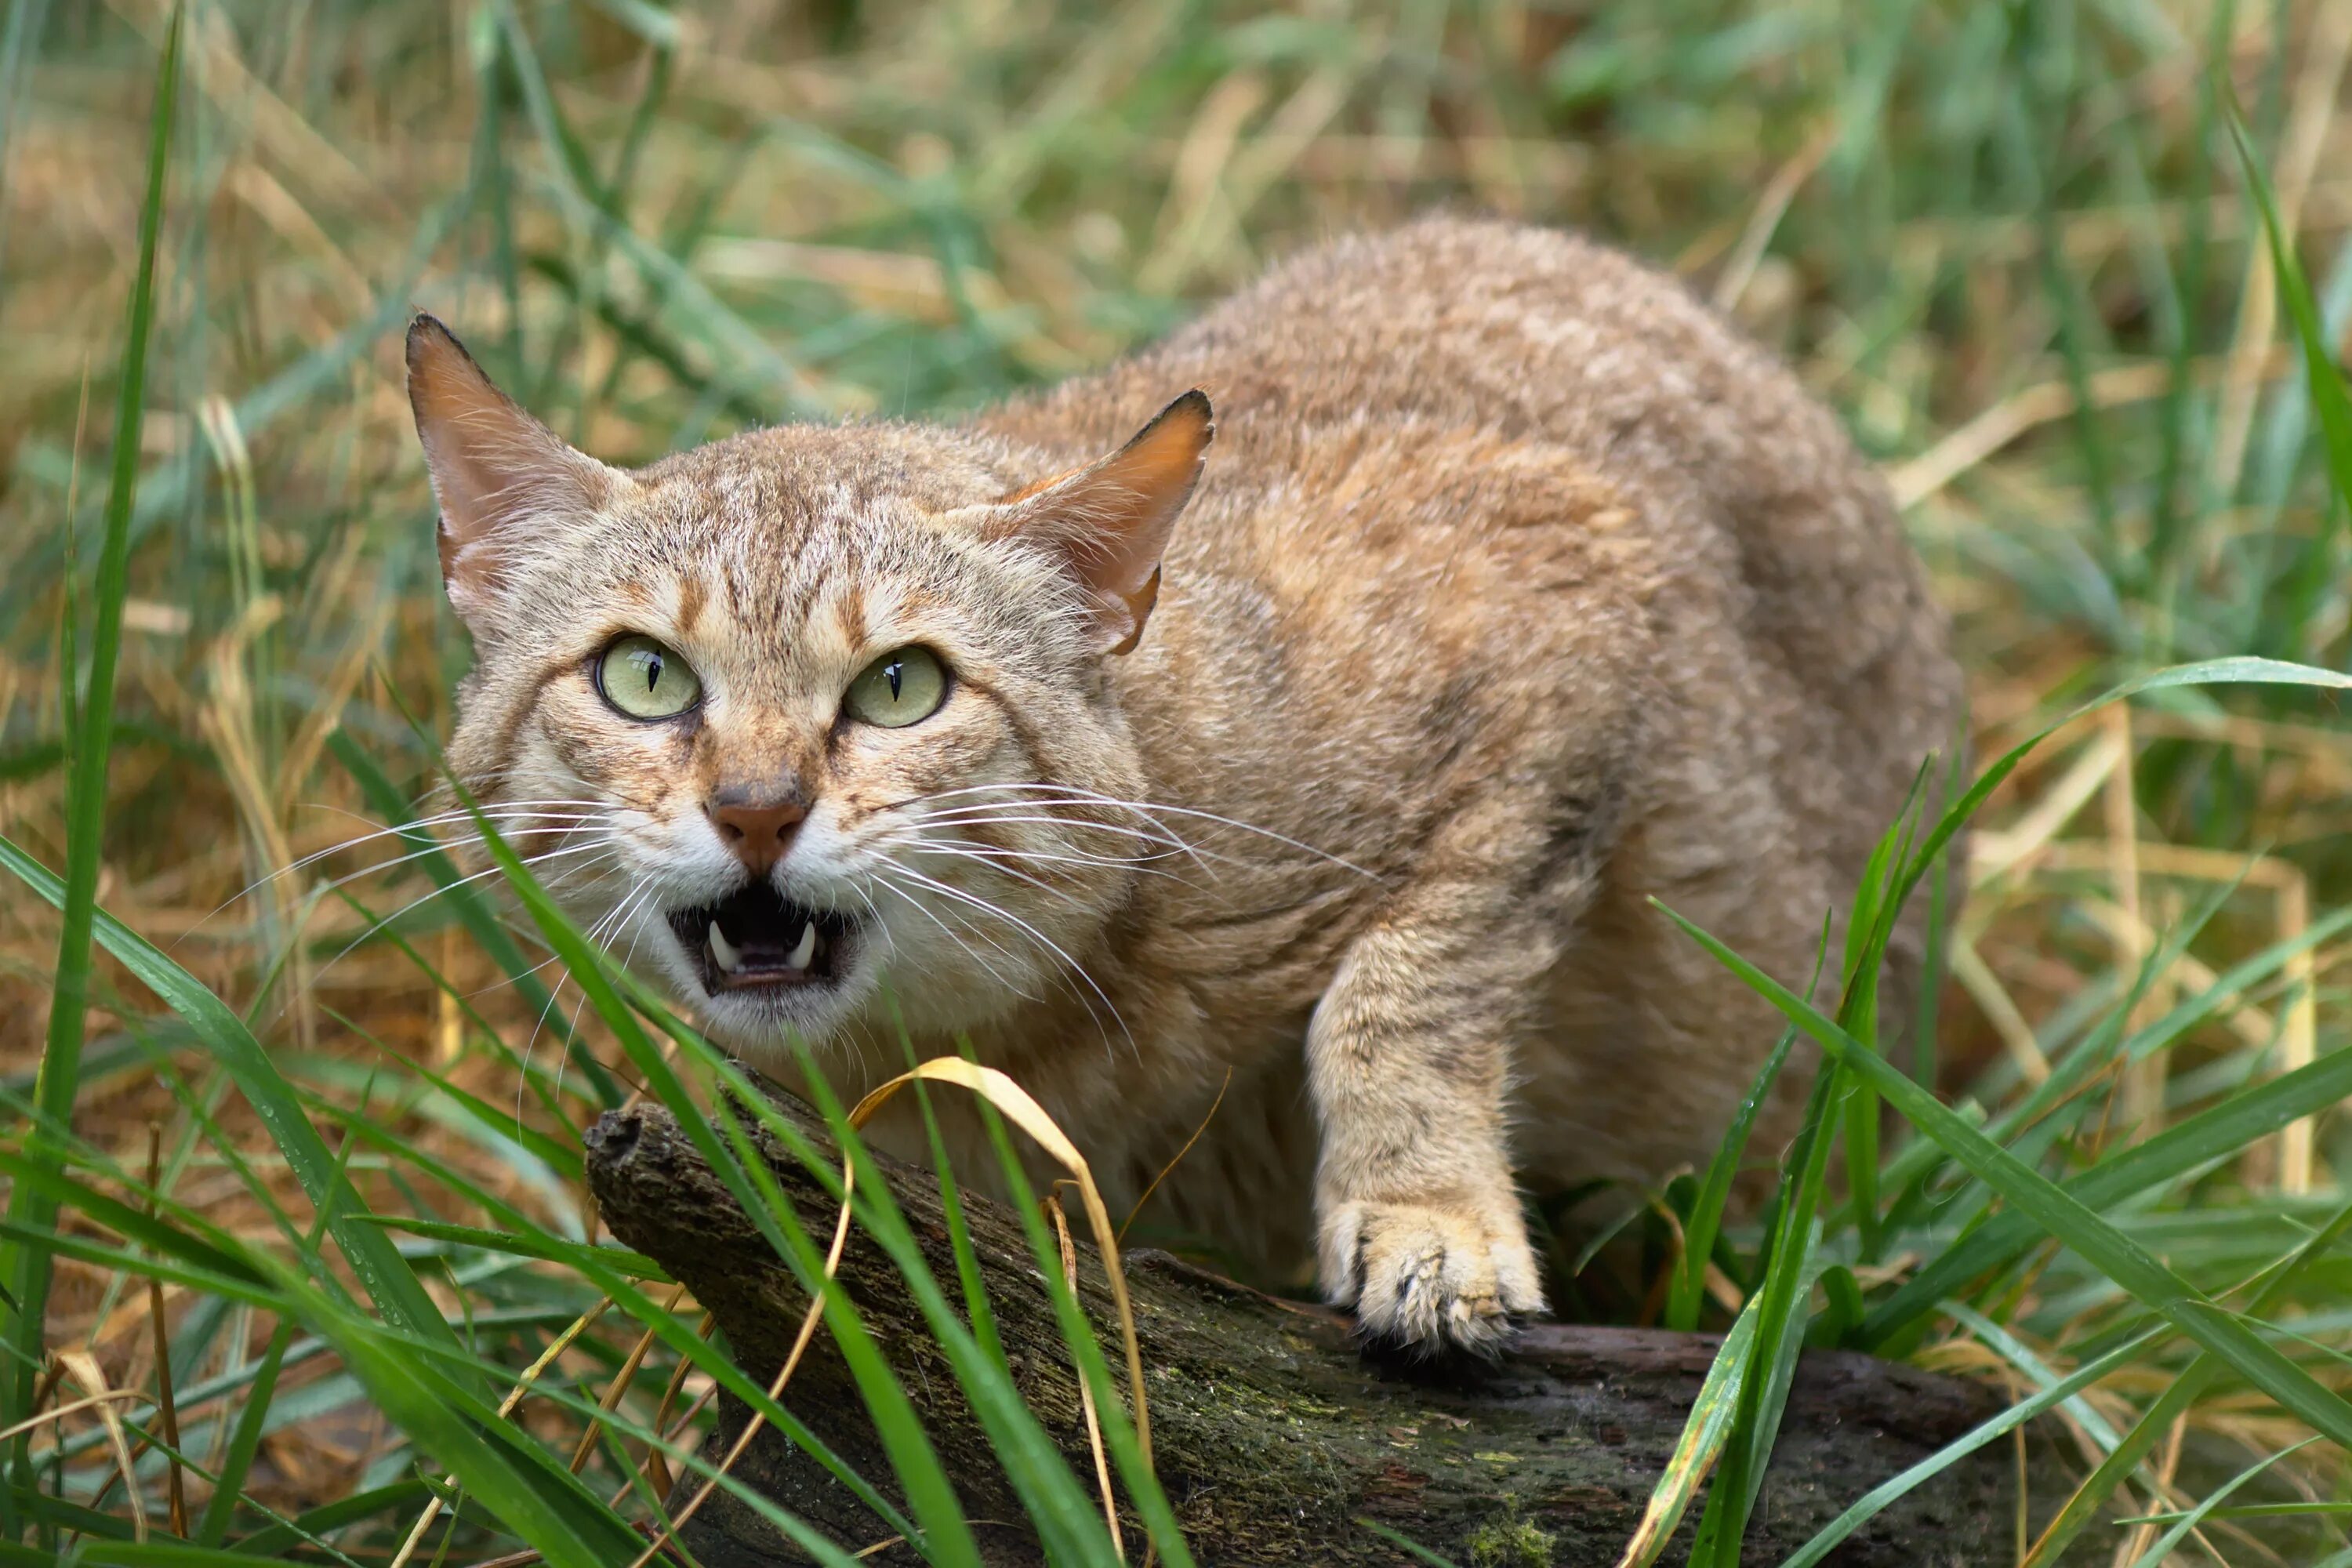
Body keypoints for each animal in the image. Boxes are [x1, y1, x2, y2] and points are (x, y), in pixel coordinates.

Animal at [409, 215, 1966, 1354]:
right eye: (645, 677)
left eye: (901, 687)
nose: (755, 808)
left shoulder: (1570, 586)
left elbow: (1409, 980)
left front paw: (1427, 1216)